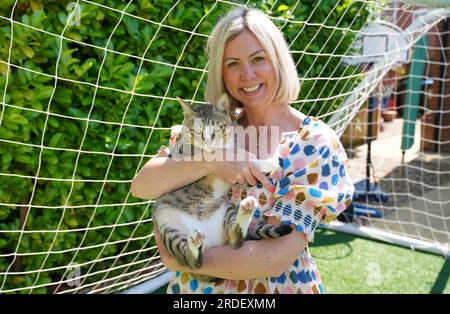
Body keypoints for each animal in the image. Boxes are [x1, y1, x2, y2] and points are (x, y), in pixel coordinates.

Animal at [152, 94, 292, 282]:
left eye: (217, 128)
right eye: (197, 131)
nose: (208, 141)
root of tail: (210, 244)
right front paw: (265, 162)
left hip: (226, 209)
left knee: (235, 239)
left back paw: (246, 209)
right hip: (167, 223)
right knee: (191, 260)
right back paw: (194, 244)